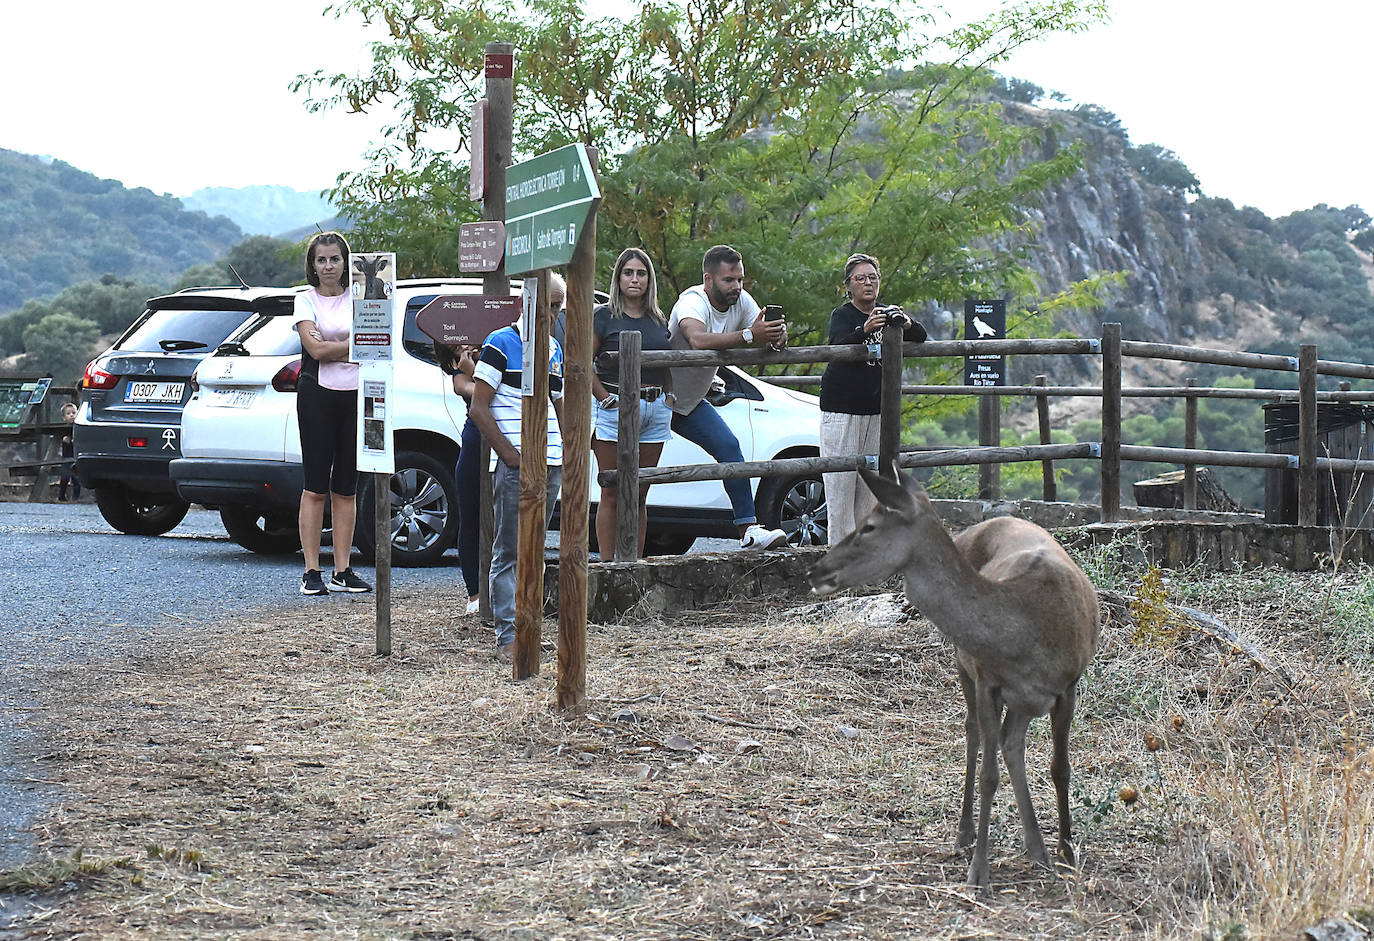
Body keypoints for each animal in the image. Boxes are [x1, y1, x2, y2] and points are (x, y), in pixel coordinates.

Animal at [807, 467, 1099, 890]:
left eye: (869, 527)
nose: (814, 571)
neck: (1024, 632)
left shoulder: (1068, 684)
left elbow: (1060, 768)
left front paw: (1067, 853)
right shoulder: (986, 678)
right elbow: (989, 775)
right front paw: (979, 871)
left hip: (1020, 697)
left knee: (1011, 743)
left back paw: (1038, 849)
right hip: (963, 663)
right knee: (976, 732)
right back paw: (968, 834)